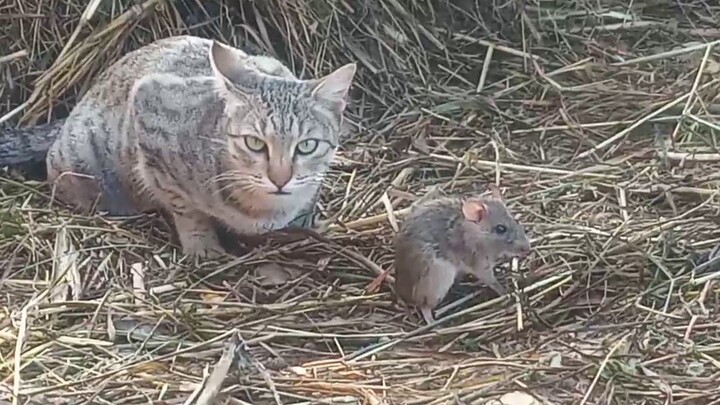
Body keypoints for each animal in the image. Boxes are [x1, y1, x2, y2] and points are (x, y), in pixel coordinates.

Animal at [0, 35, 354, 256]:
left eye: (307, 146)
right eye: (254, 143)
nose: (280, 178)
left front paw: (305, 220)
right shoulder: (148, 110)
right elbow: (184, 205)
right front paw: (202, 244)